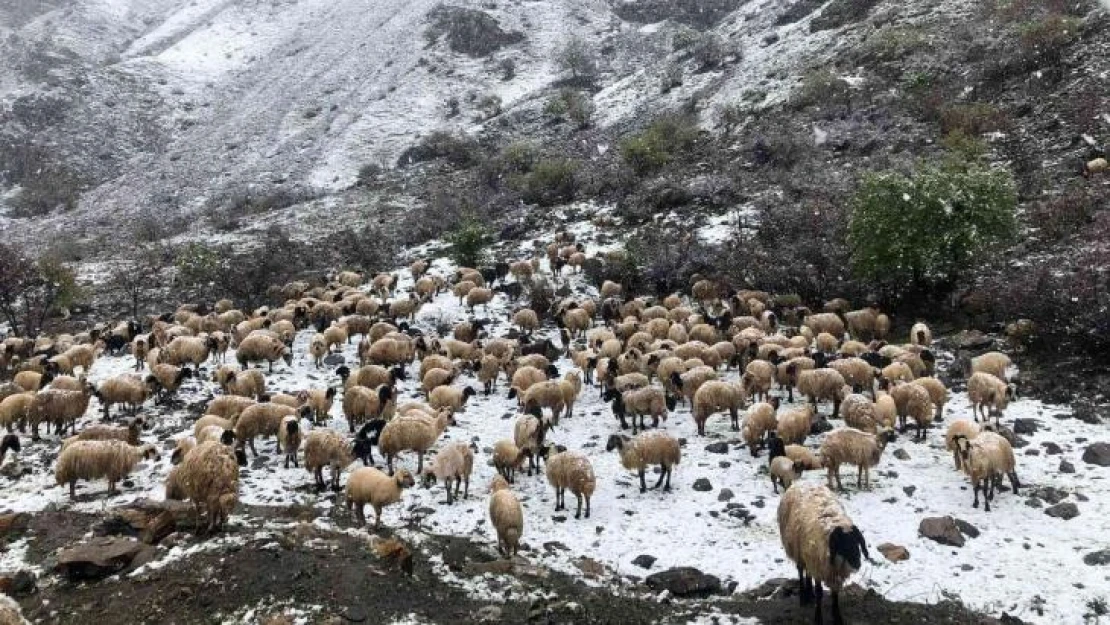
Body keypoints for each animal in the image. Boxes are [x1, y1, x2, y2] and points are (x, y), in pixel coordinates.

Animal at [777, 486, 870, 625]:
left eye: (857, 542)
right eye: (841, 544)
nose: (857, 564)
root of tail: (798, 483)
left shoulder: (832, 571)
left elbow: (835, 593)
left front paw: (837, 618)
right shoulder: (819, 568)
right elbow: (820, 592)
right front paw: (818, 618)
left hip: (808, 554)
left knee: (808, 573)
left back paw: (810, 594)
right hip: (798, 550)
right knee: (801, 571)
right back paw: (804, 597)